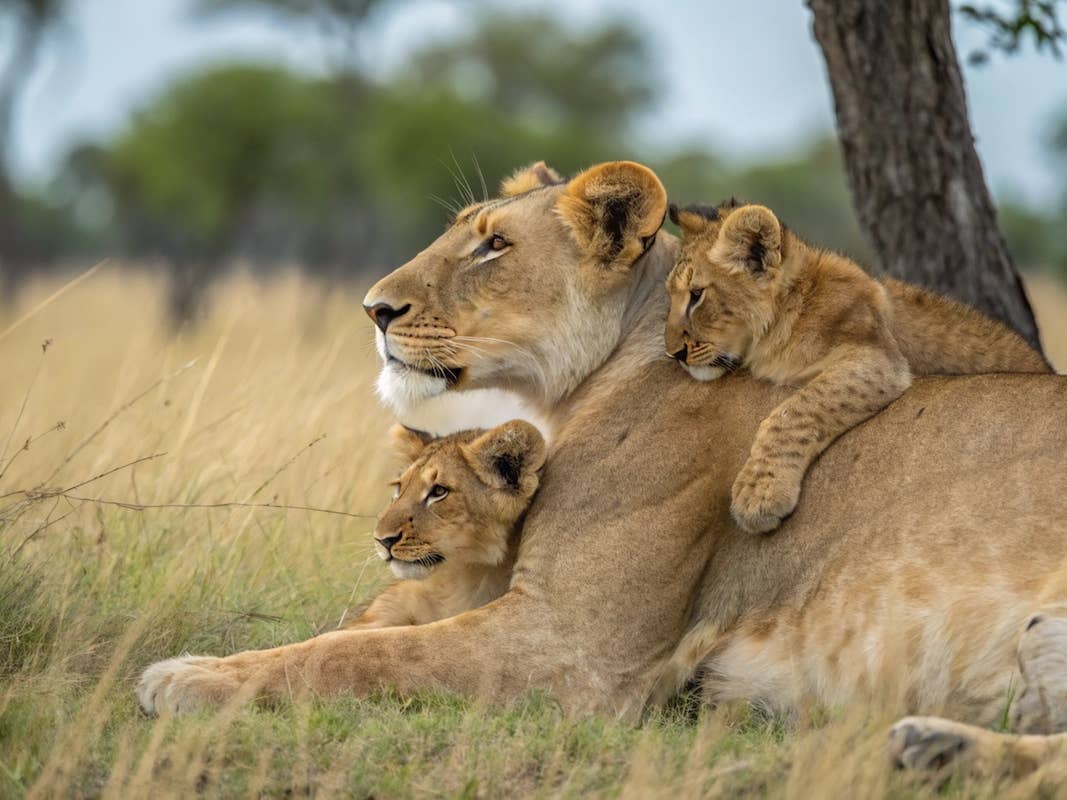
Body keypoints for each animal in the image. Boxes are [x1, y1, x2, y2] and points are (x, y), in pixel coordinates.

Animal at [663, 201, 1049, 534]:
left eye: (696, 295)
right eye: (671, 295)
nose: (673, 353)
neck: (787, 315)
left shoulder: (878, 358)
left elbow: (793, 411)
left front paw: (759, 494)